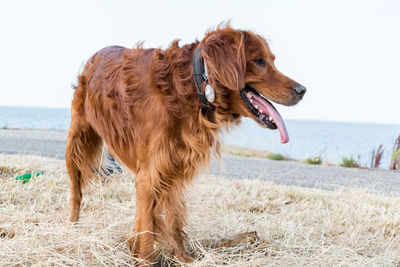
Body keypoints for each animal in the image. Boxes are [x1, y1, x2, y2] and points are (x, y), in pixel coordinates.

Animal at [65, 25, 306, 266]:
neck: (191, 85)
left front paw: (183, 257)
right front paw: (145, 260)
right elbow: (147, 231)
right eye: (259, 61)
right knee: (76, 192)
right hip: (76, 141)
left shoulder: (173, 166)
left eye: (272, 60)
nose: (302, 90)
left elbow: (172, 218)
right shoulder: (149, 175)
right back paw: (72, 228)